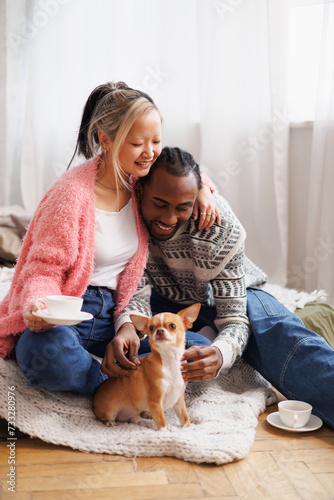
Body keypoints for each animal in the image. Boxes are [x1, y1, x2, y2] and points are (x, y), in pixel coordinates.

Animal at [92, 302, 201, 432]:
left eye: (172, 326)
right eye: (151, 328)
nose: (159, 331)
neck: (170, 361)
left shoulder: (179, 401)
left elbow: (184, 417)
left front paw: (188, 428)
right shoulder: (154, 401)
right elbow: (162, 421)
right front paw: (164, 432)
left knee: (136, 419)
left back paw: (145, 419)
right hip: (110, 411)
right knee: (106, 417)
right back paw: (110, 422)